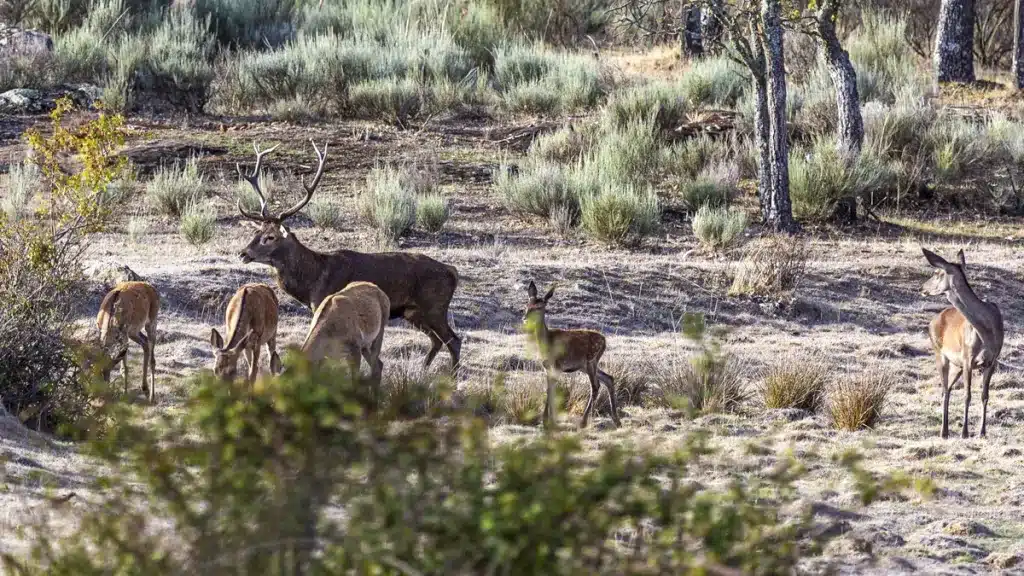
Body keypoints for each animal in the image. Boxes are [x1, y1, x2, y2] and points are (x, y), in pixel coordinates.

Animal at [235, 138, 460, 373]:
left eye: (270, 237)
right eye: (257, 231)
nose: (243, 253)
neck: (314, 279)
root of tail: (452, 272)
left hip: (435, 307)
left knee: (453, 340)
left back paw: (451, 375)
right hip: (414, 313)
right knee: (436, 341)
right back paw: (424, 370)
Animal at [524, 280, 618, 428]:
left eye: (539, 307)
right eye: (527, 305)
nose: (525, 318)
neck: (547, 343)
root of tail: (604, 340)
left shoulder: (558, 366)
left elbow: (552, 390)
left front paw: (549, 421)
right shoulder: (547, 368)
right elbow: (549, 389)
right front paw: (546, 420)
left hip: (590, 360)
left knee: (595, 385)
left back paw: (583, 421)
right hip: (585, 365)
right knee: (609, 378)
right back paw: (616, 420)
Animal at [917, 243, 1003, 436]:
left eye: (937, 272)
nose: (922, 288)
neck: (987, 330)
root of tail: (933, 321)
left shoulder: (992, 360)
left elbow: (984, 395)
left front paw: (982, 432)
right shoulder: (967, 357)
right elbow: (967, 395)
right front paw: (965, 432)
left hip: (956, 364)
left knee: (947, 388)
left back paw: (947, 430)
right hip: (940, 353)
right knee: (944, 389)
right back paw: (943, 432)